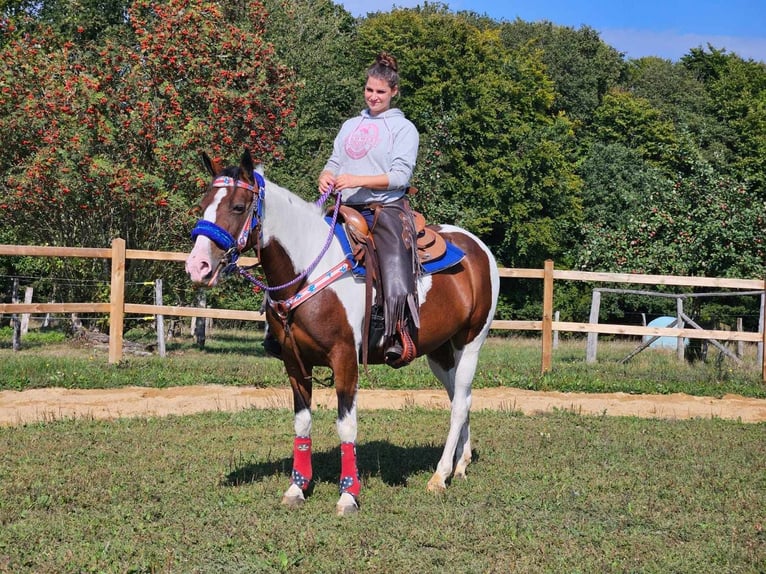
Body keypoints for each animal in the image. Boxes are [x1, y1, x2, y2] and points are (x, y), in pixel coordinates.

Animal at [184, 148, 500, 516]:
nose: (198, 266)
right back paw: (461, 464)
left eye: (237, 206)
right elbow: (302, 423)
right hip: (439, 351)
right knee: (460, 398)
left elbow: (346, 425)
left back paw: (440, 475)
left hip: (471, 343)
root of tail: (477, 246)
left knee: (460, 404)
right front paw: (297, 488)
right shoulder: (294, 362)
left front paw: (348, 494)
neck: (308, 268)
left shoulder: (345, 358)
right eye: (202, 204)